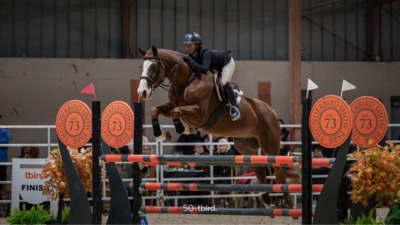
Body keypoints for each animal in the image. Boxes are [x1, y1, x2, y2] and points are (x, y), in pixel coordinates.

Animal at [138, 45, 300, 207]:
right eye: (140, 66)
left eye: (153, 66)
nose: (142, 92)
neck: (186, 82)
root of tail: (270, 110)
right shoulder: (173, 104)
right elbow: (156, 110)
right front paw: (163, 133)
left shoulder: (200, 114)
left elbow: (175, 111)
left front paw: (180, 128)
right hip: (246, 146)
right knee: (260, 171)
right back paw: (268, 199)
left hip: (269, 145)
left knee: (279, 173)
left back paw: (286, 202)